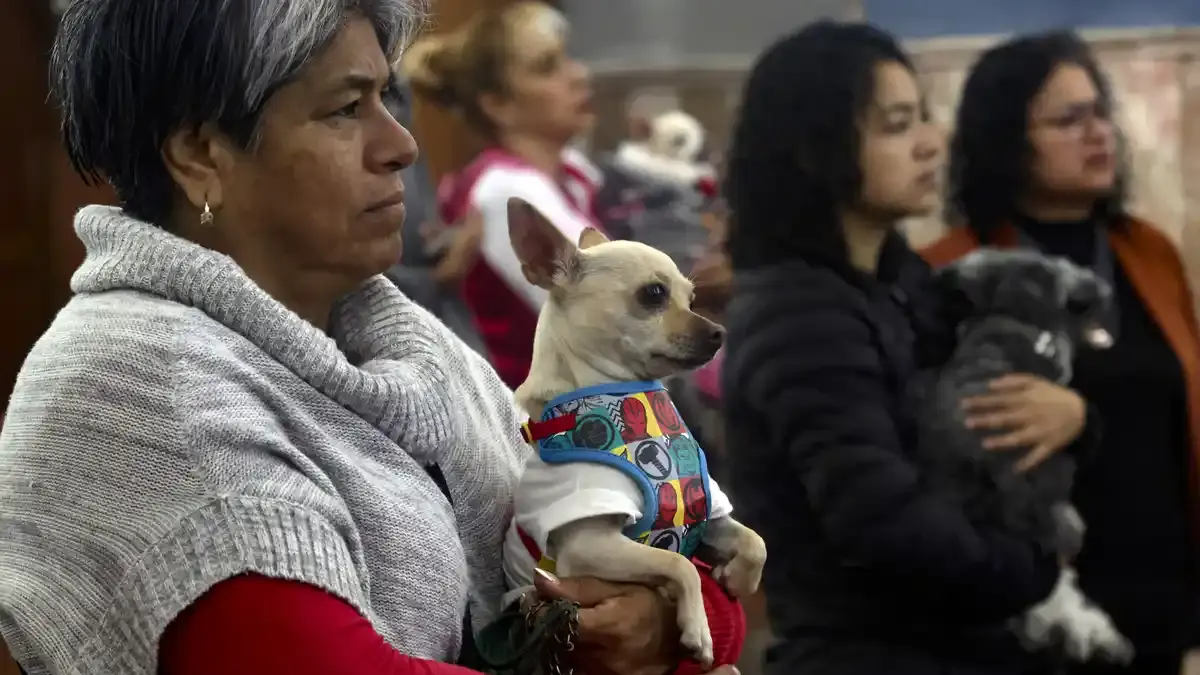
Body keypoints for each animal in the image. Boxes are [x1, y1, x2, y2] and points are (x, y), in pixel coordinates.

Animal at [499, 195, 763, 662]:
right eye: (653, 294)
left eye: (692, 297)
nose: (719, 331)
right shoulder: (587, 547)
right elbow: (678, 564)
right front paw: (698, 629)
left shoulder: (705, 518)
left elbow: (754, 542)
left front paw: (739, 578)